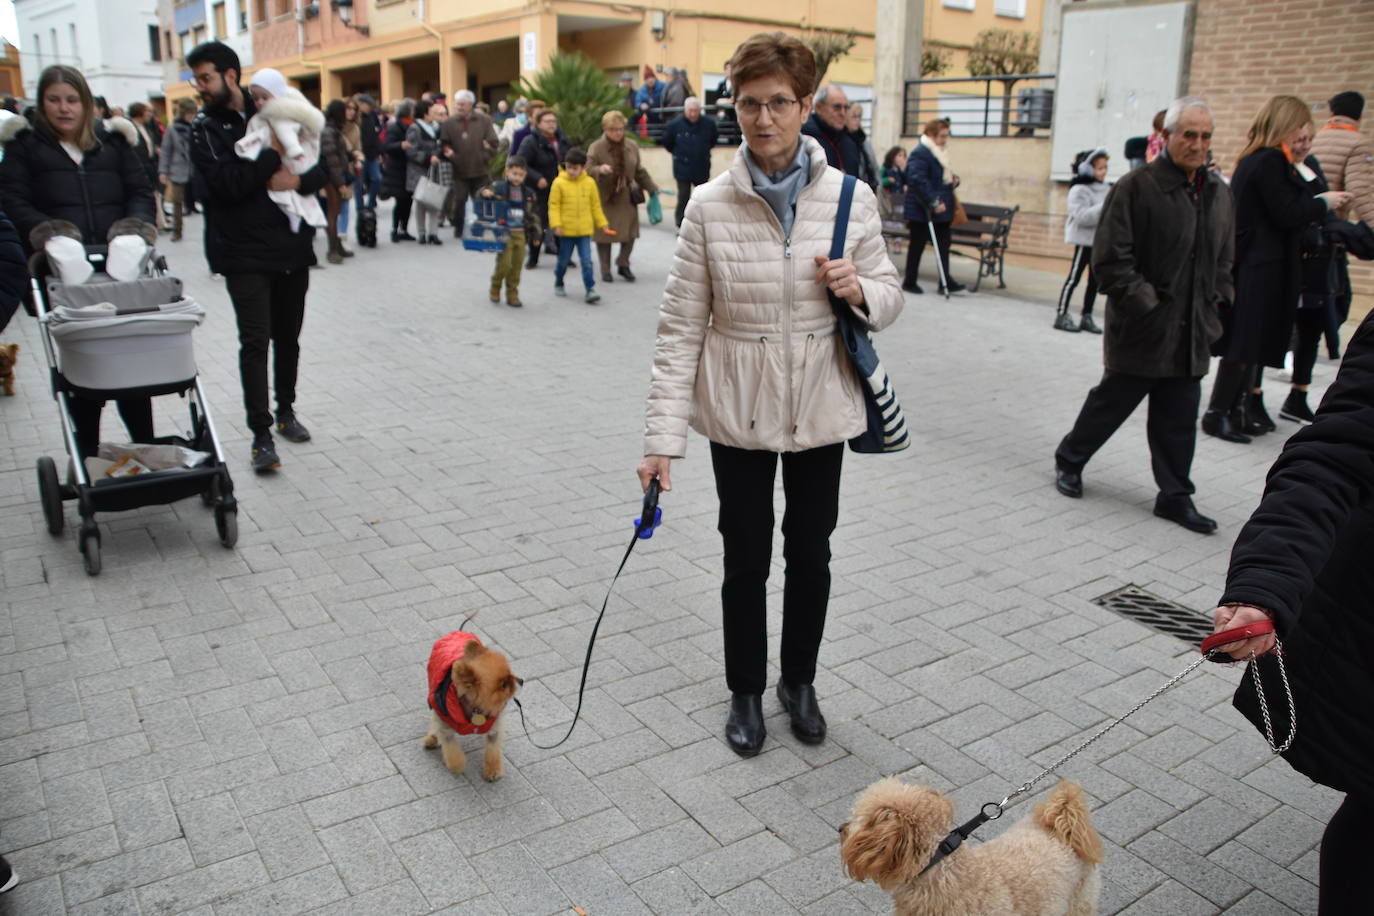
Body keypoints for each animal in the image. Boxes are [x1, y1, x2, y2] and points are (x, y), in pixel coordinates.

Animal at [417, 634, 519, 785]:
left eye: (510, 675)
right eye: (503, 685)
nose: (519, 681)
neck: (476, 710)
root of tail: (456, 632)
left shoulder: (494, 728)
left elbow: (493, 751)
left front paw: (493, 771)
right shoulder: (445, 726)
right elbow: (451, 749)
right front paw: (457, 766)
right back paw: (432, 738)